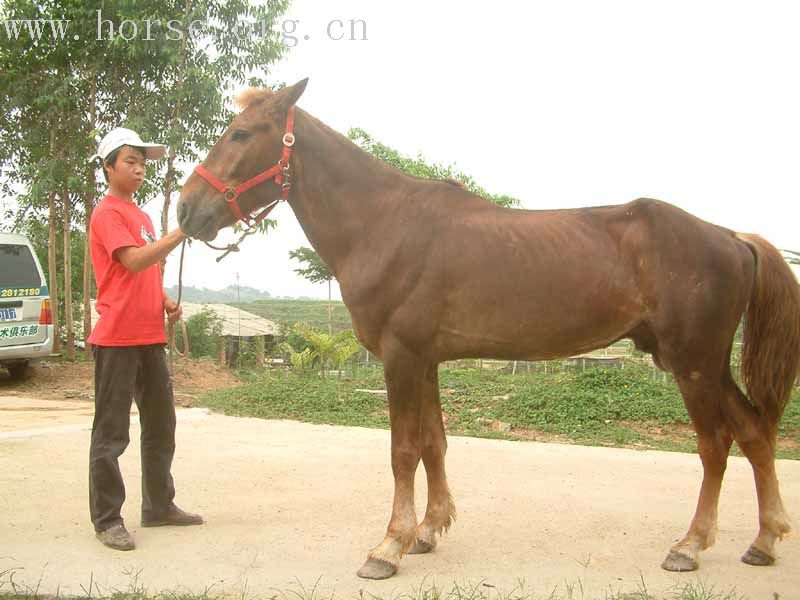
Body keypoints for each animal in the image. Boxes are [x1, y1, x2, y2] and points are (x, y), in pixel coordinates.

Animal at [178, 77, 800, 580]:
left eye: (241, 133)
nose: (186, 210)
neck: (385, 223)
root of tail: (732, 236)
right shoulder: (425, 359)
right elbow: (434, 443)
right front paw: (429, 531)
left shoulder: (401, 357)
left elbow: (403, 450)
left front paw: (389, 546)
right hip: (705, 363)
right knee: (753, 432)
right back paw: (764, 541)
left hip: (693, 362)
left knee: (716, 444)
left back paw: (689, 546)